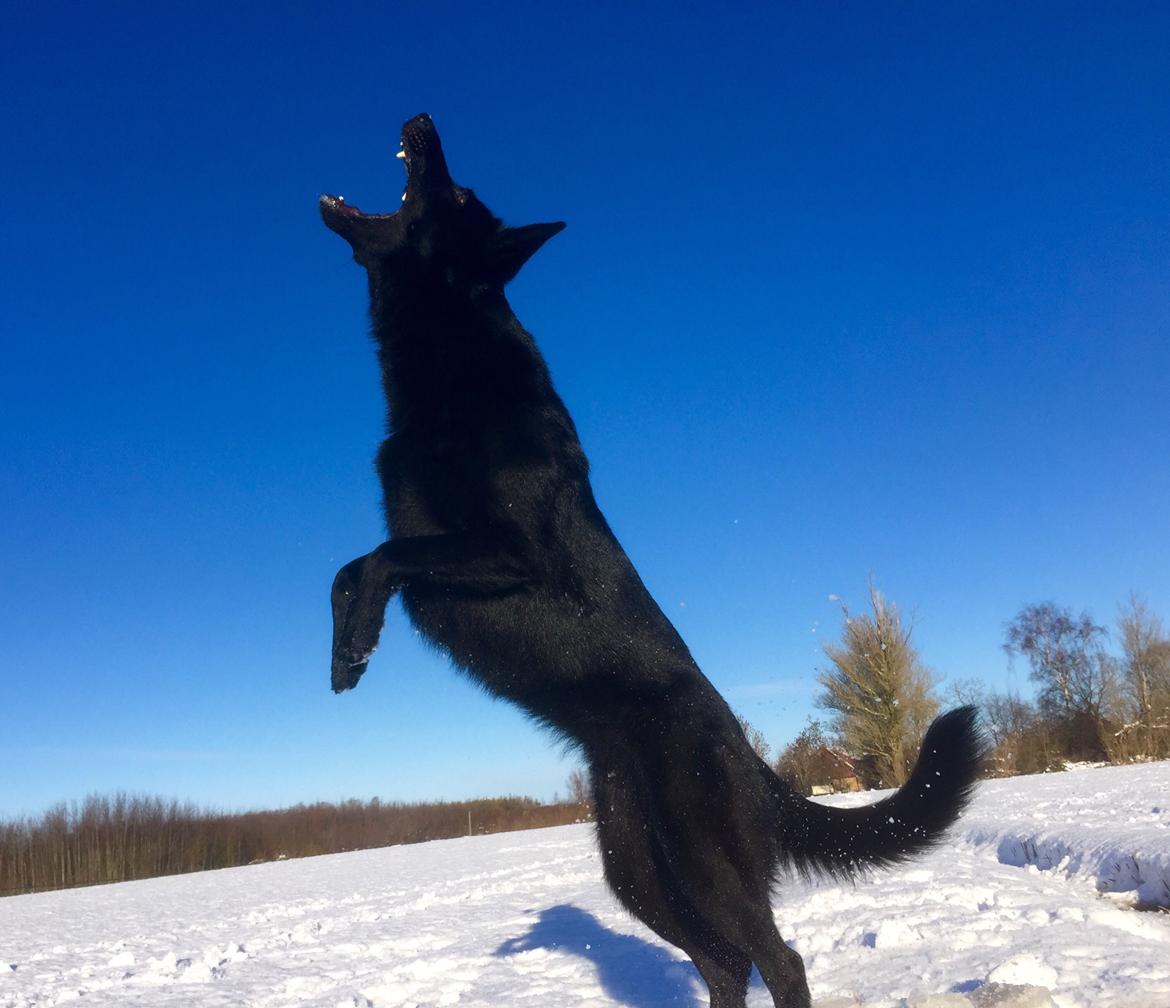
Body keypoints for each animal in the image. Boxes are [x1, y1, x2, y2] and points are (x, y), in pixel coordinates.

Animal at [322, 116, 987, 1008]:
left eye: (456, 193)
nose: (423, 122)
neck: (457, 360)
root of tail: (754, 763)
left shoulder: (513, 549)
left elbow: (375, 560)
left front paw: (356, 647)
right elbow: (352, 565)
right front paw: (345, 653)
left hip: (703, 857)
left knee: (777, 958)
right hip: (634, 863)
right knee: (722, 960)